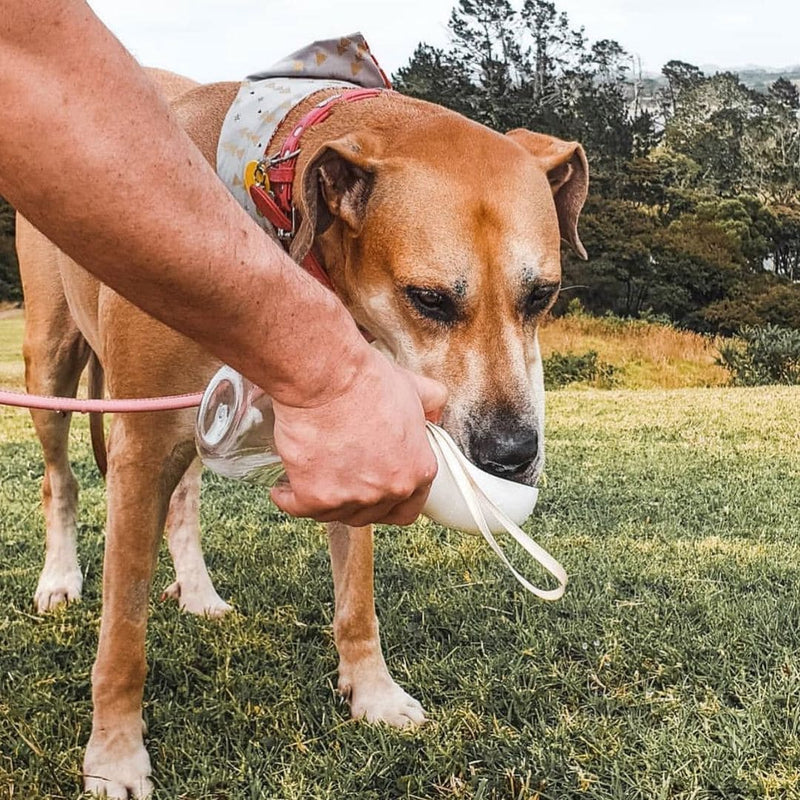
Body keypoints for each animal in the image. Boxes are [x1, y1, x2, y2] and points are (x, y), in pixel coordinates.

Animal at [15, 65, 584, 796]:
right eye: (428, 299)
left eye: (541, 295)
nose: (511, 455)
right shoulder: (140, 446)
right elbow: (123, 630)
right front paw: (114, 752)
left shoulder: (359, 421)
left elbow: (357, 593)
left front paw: (373, 692)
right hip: (53, 360)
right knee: (59, 478)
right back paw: (59, 576)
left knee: (184, 500)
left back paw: (197, 589)